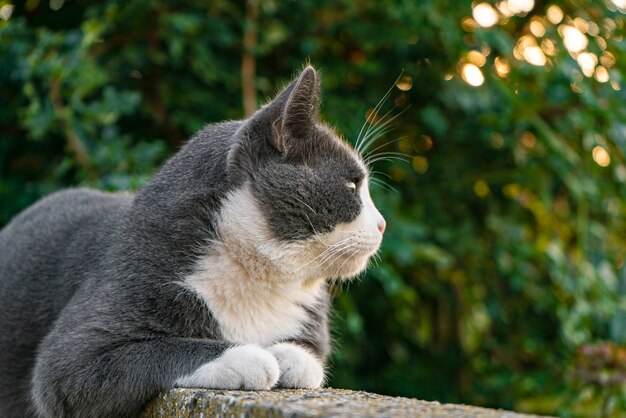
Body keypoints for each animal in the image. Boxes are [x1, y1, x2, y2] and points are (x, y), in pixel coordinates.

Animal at [0, 66, 386, 418]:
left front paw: (287, 355)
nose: (382, 224)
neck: (259, 276)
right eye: (351, 185)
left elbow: (310, 357)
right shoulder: (94, 326)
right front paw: (247, 355)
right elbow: (93, 363)